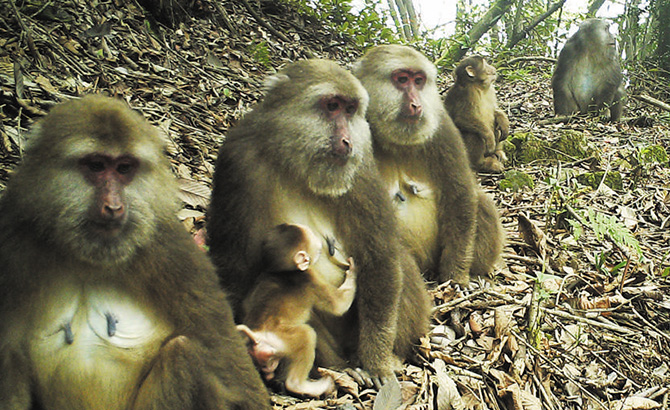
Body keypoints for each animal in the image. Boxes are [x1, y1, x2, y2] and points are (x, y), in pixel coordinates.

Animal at [1, 95, 272, 410]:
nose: (114, 206)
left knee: (187, 351)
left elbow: (227, 360)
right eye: (96, 165)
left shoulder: (172, 254)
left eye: (124, 168)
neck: (88, 257)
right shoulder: (13, 247)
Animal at [239, 224, 360, 398]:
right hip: (284, 340)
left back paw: (270, 372)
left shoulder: (262, 278)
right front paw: (353, 272)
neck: (284, 272)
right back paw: (300, 385)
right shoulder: (310, 276)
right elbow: (338, 305)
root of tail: (257, 336)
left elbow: (245, 303)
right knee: (307, 335)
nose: (322, 243)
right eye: (315, 245)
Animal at [354, 44, 506, 286]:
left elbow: (459, 193)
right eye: (402, 79)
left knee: (479, 200)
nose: (417, 104)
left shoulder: (441, 125)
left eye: (419, 81)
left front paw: (456, 275)